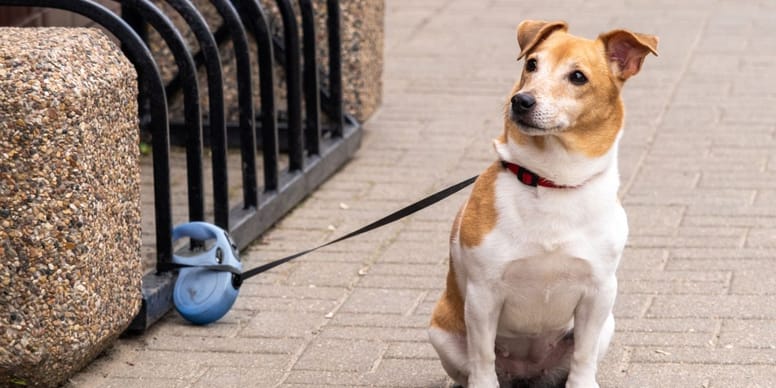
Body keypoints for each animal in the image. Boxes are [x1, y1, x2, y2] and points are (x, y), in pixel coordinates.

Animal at [428, 20, 656, 388]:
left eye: (578, 76)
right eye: (531, 64)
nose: (521, 100)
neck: (551, 181)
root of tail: (526, 373)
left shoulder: (600, 292)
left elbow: (583, 355)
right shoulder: (482, 295)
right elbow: (482, 357)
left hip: (607, 324)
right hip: (442, 332)